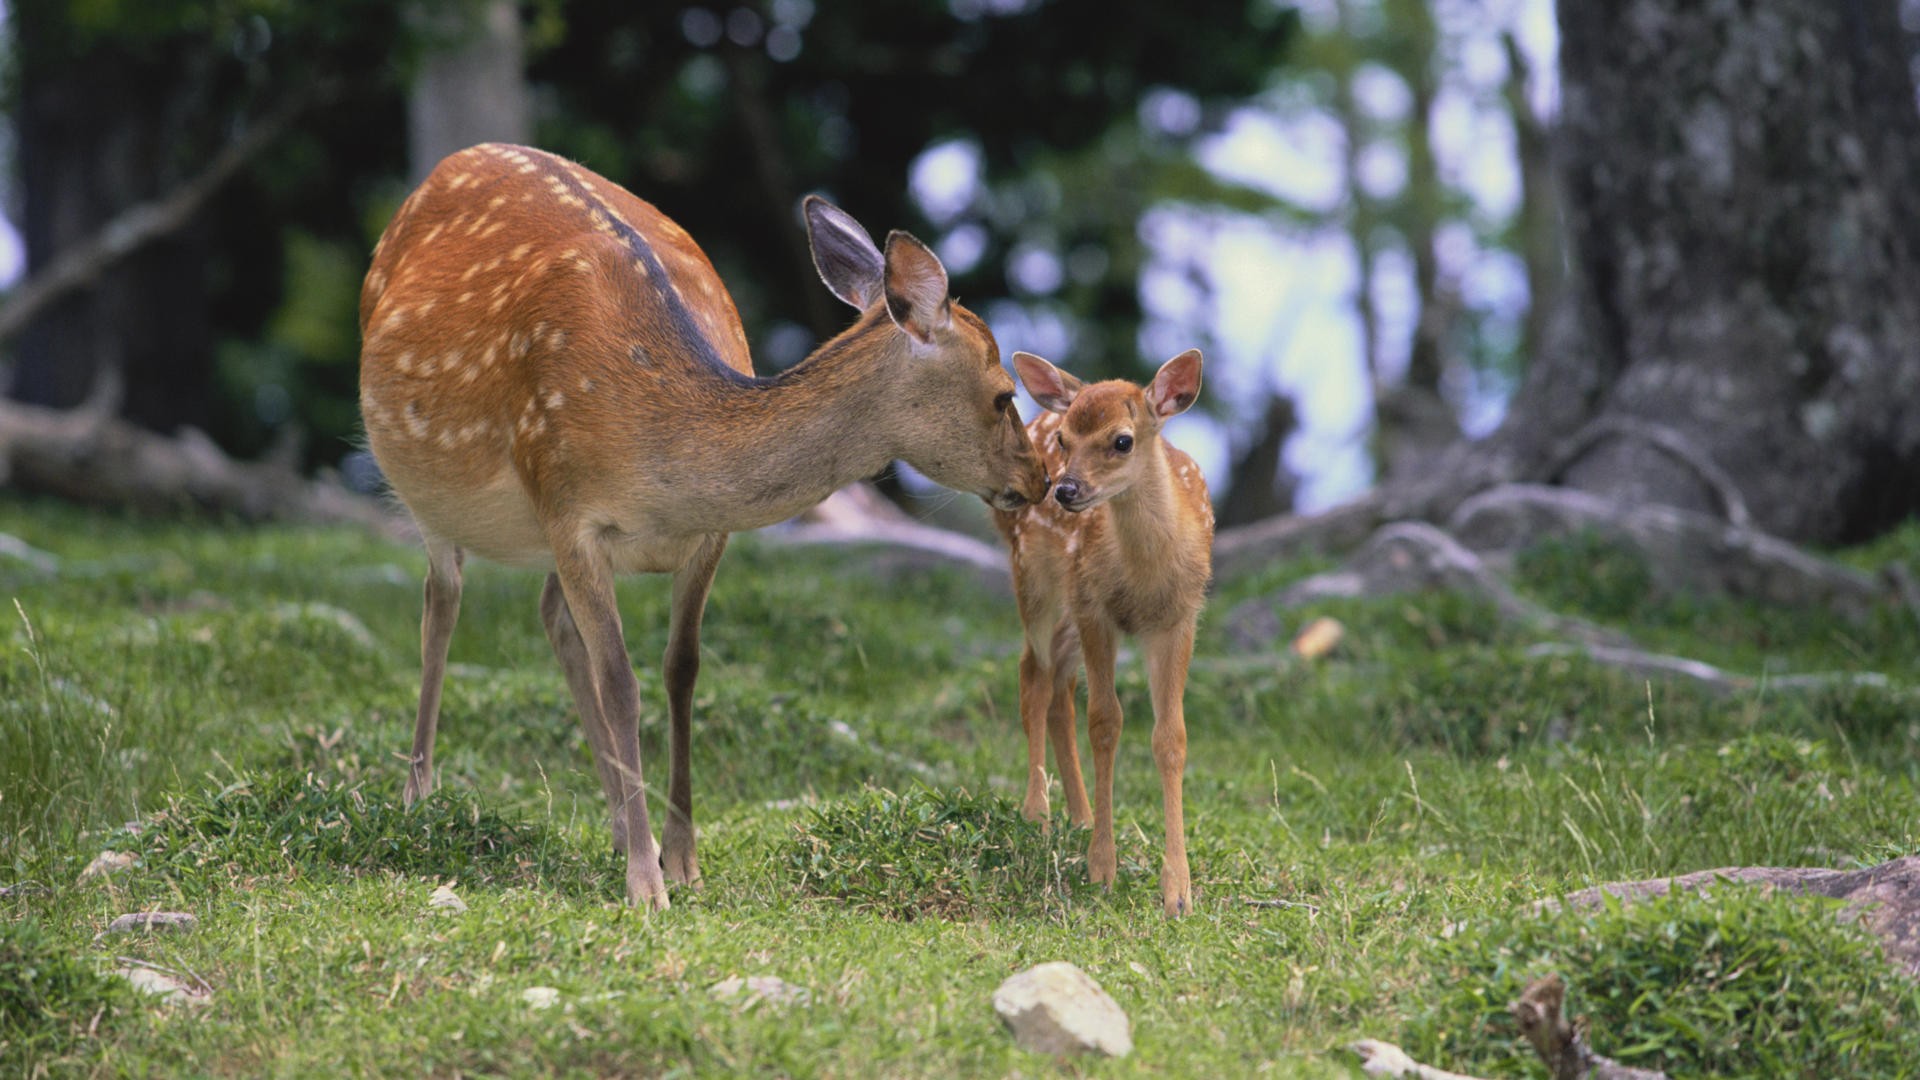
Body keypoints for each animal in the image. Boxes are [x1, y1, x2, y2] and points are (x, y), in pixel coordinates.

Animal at [360, 138, 1052, 903]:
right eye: (1002, 394)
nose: (1041, 479)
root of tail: (454, 160)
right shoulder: (568, 508)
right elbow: (621, 682)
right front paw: (645, 884)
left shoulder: (707, 537)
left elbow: (681, 669)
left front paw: (682, 859)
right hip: (429, 490)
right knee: (442, 602)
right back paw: (419, 796)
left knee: (551, 617)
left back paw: (615, 821)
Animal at [990, 349, 1213, 910]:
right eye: (1065, 440)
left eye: (1122, 440)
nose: (1065, 489)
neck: (1143, 575)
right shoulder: (1096, 608)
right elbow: (1106, 724)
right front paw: (1102, 869)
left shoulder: (1180, 617)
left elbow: (1170, 736)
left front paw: (1178, 891)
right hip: (1036, 579)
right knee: (1033, 677)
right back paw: (1038, 814)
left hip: (1067, 610)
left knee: (1059, 689)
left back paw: (1080, 815)